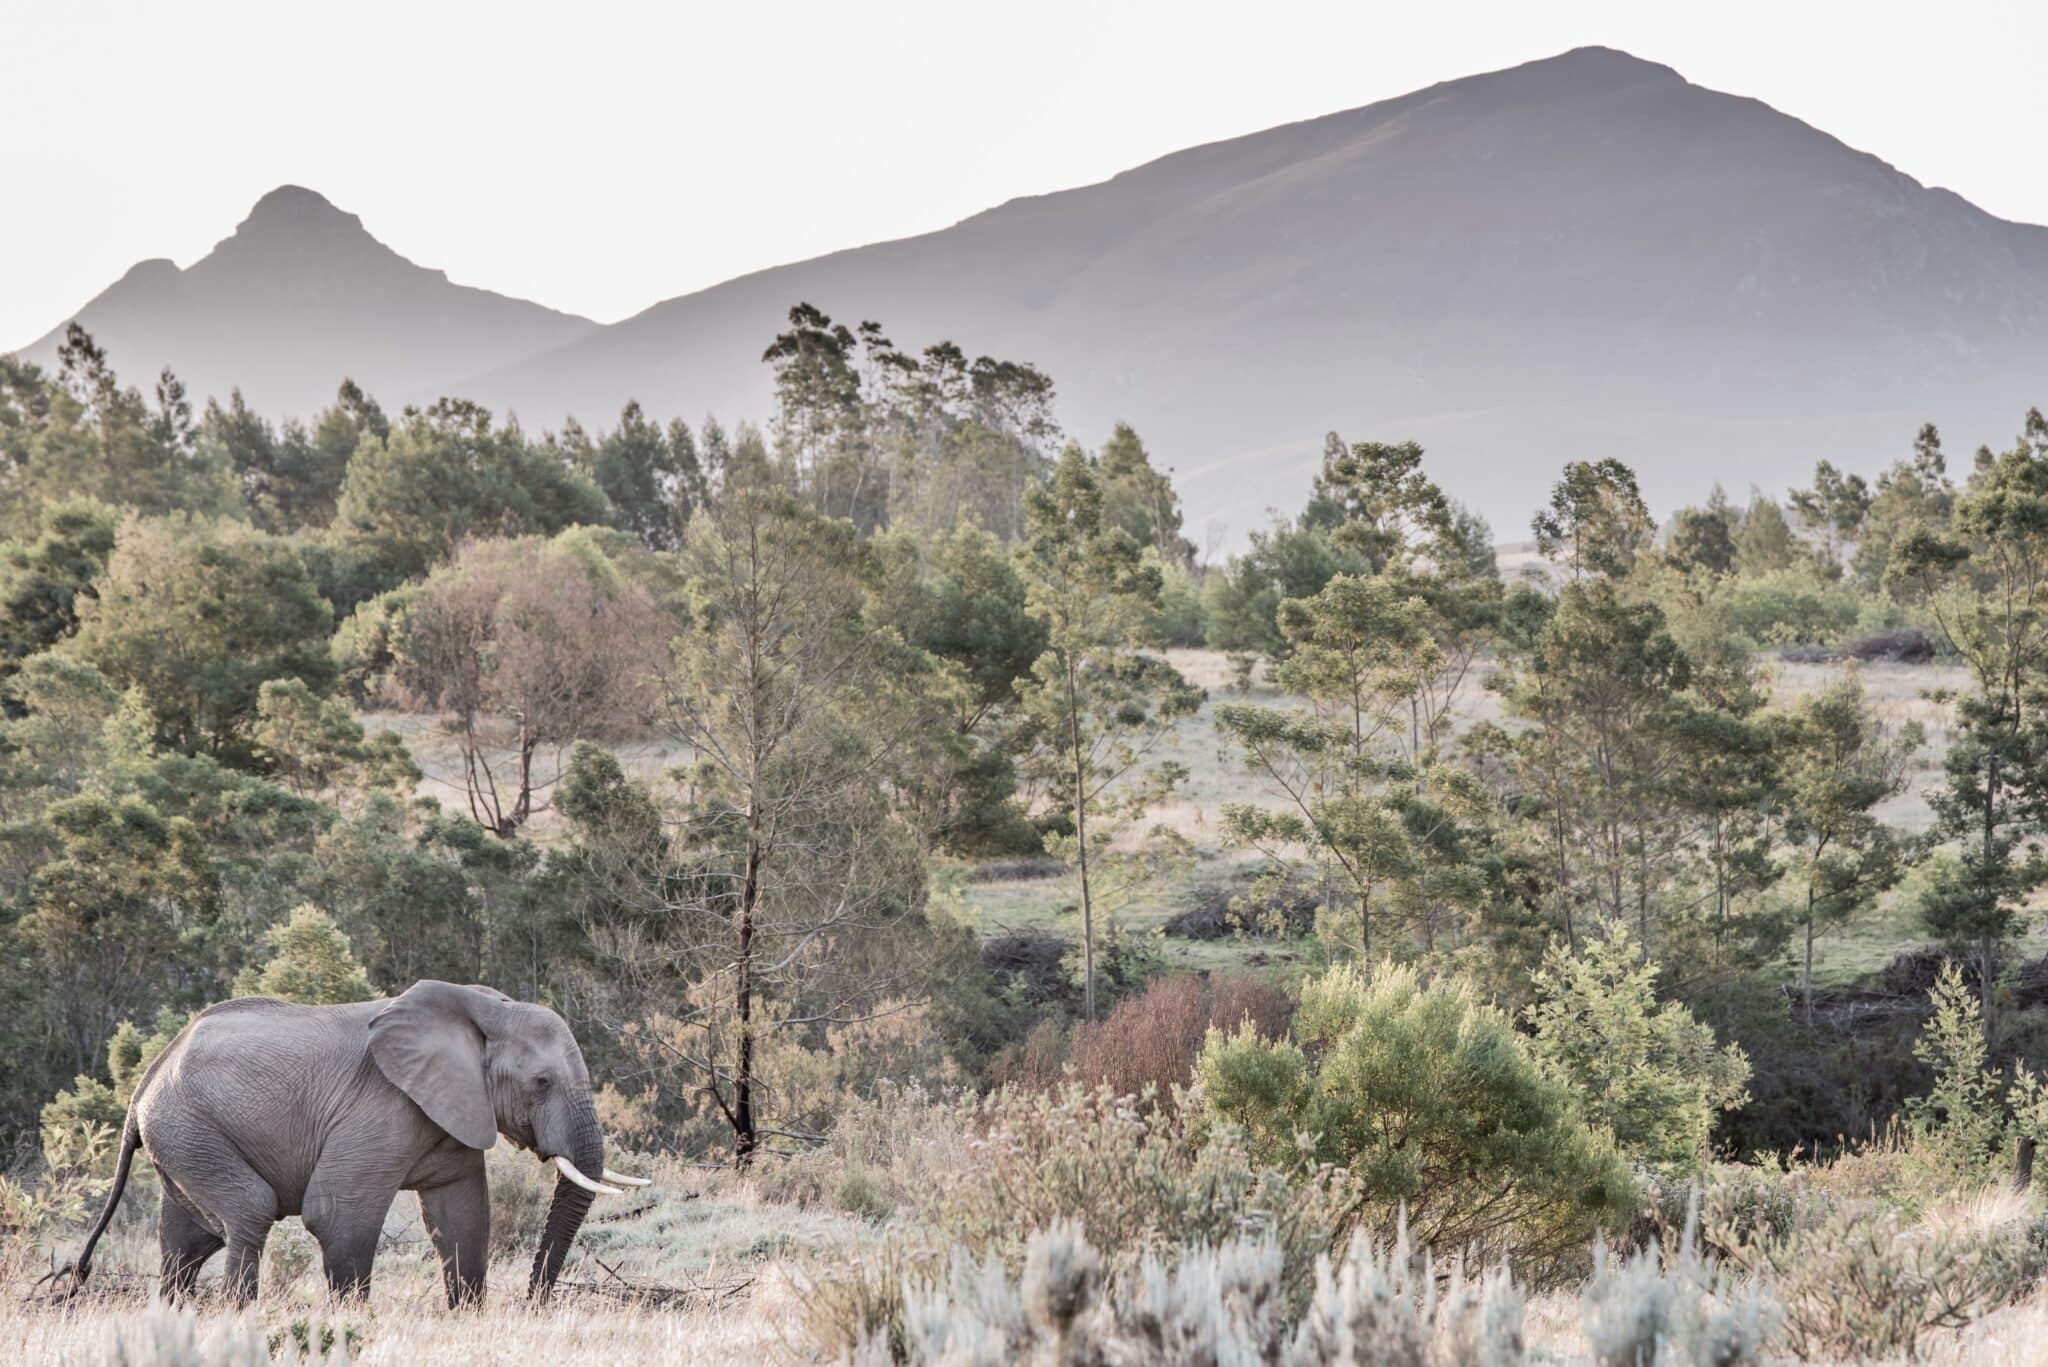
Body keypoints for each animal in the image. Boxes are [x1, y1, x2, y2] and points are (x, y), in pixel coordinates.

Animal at [59, 979, 647, 1311]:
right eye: (542, 1083)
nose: (534, 1306)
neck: (486, 1009)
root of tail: (143, 1085)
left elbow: (463, 1214)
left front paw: (467, 1315)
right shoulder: (380, 1103)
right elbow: (338, 1212)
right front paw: (353, 1321)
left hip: (182, 1137)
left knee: (186, 1242)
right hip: (190, 1128)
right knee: (248, 1212)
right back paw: (237, 1315)